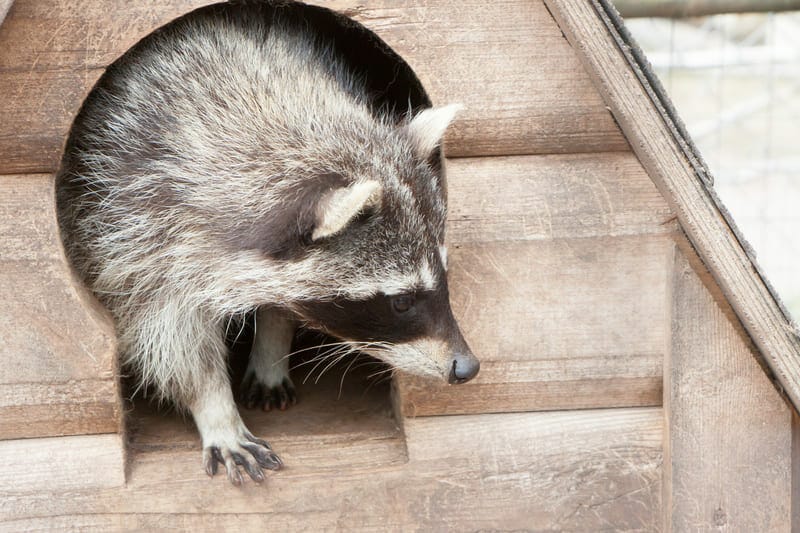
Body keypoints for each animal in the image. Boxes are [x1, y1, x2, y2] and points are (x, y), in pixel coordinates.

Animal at [59, 1, 482, 482]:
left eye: (443, 276)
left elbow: (276, 301)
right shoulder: (130, 226)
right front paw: (214, 407)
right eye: (401, 302)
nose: (466, 367)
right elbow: (169, 337)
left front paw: (273, 343)